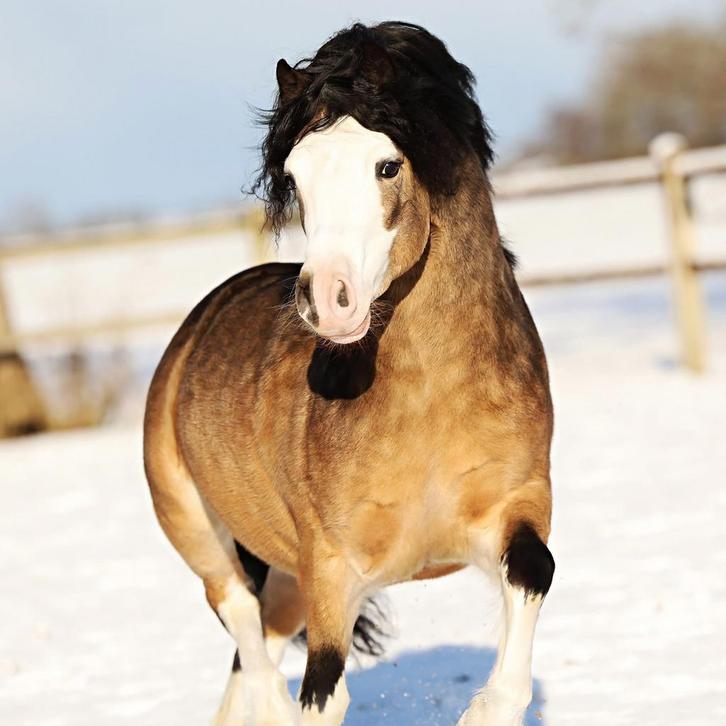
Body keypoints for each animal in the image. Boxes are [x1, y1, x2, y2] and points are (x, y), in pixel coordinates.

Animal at [144, 21, 554, 726]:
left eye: (387, 165)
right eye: (296, 177)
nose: (325, 301)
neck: (430, 399)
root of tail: (195, 327)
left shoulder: (518, 505)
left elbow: (534, 574)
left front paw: (485, 708)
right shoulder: (332, 571)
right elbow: (322, 691)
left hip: (284, 580)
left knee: (250, 655)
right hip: (207, 542)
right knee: (245, 630)